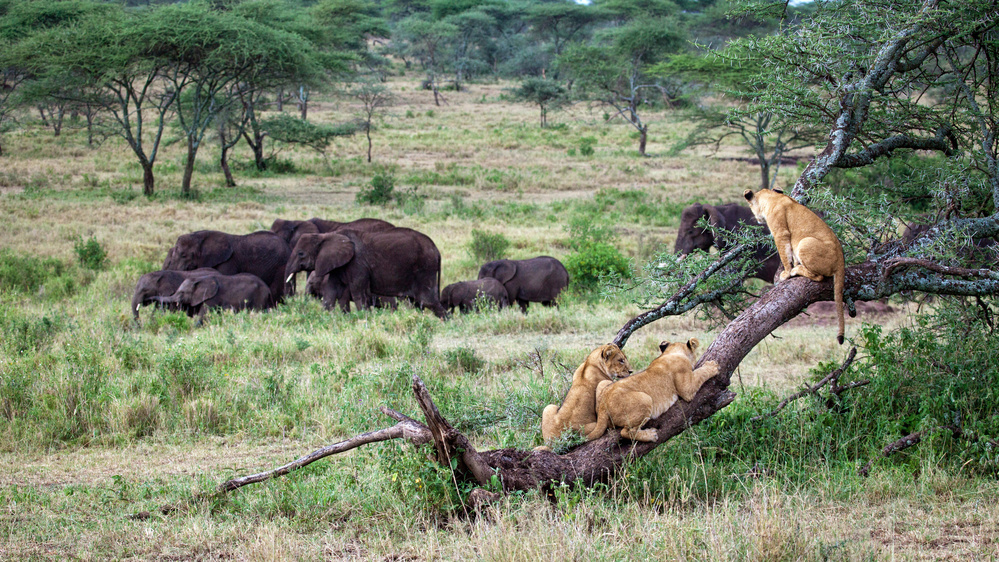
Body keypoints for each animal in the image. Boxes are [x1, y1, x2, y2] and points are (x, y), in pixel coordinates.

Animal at [284, 226, 444, 316]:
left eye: (300, 254)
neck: (327, 235)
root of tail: (437, 250)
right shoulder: (338, 264)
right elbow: (331, 291)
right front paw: (327, 318)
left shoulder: (357, 264)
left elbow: (358, 293)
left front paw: (364, 319)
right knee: (418, 303)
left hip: (425, 268)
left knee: (427, 301)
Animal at [584, 340, 720, 440]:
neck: (671, 353)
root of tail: (603, 406)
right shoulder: (687, 389)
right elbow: (701, 373)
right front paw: (713, 366)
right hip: (646, 399)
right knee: (626, 432)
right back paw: (651, 435)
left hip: (603, 384)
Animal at [748, 187, 848, 342]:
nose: (757, 219)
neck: (773, 197)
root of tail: (841, 261)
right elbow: (792, 256)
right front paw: (792, 266)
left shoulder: (780, 232)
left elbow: (784, 254)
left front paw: (786, 273)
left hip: (805, 242)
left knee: (819, 276)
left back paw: (797, 270)